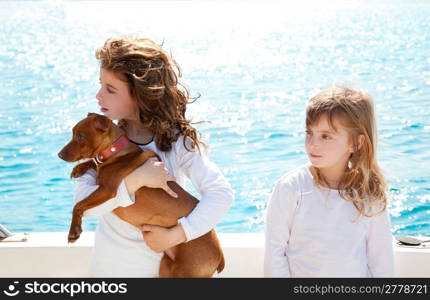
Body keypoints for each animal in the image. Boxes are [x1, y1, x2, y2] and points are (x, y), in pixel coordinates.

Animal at [58, 112, 225, 276]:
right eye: (73, 134)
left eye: (80, 137)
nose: (59, 154)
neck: (114, 152)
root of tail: (221, 257)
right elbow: (93, 163)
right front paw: (79, 168)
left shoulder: (107, 190)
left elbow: (78, 205)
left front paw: (73, 232)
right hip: (166, 267)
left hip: (184, 270)